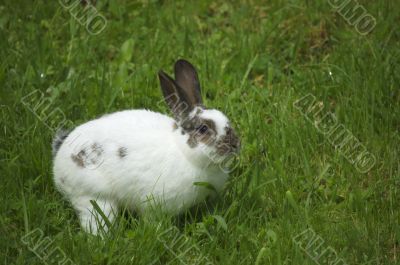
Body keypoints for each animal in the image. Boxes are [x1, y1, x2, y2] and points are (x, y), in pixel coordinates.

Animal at [53, 58, 241, 233]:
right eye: (203, 129)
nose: (235, 144)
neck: (184, 153)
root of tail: (58, 164)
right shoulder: (154, 204)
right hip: (94, 197)